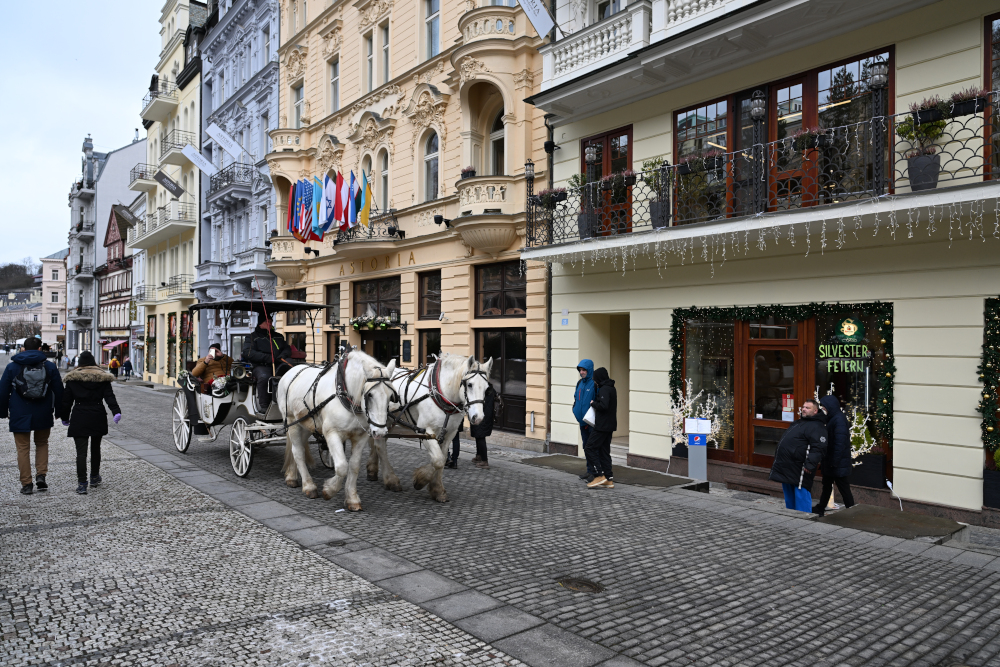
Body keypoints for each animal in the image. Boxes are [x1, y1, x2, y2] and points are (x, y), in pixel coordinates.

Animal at [278, 350, 398, 512]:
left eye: (391, 396)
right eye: (369, 395)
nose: (380, 433)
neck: (345, 395)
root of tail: (290, 371)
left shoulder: (360, 436)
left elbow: (354, 466)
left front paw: (352, 498)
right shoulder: (331, 433)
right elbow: (341, 466)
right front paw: (329, 490)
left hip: (306, 424)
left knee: (297, 448)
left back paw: (292, 476)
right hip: (292, 422)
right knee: (298, 452)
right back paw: (309, 486)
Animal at [368, 352, 492, 504]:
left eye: (487, 389)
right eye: (469, 384)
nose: (478, 417)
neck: (441, 394)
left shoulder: (449, 433)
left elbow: (442, 459)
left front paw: (437, 489)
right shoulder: (425, 431)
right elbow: (438, 460)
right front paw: (420, 480)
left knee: (377, 442)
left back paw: (373, 470)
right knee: (380, 446)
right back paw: (391, 480)